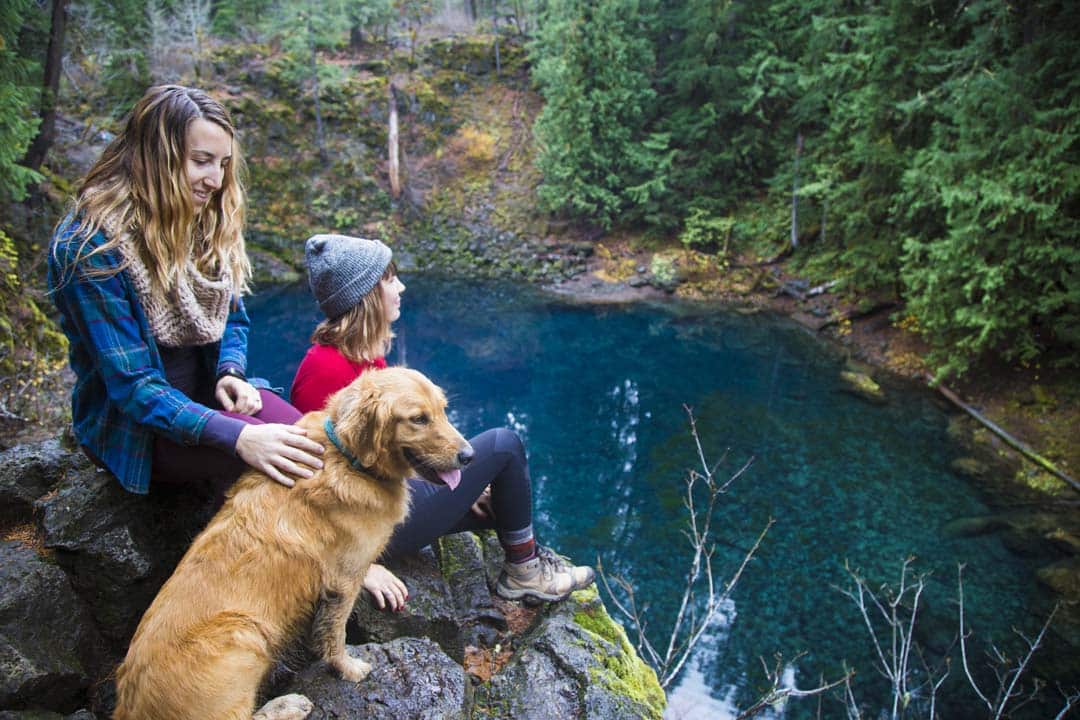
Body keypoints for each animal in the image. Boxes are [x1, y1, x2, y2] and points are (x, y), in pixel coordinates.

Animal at [111, 369, 475, 716]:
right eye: (418, 418)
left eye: (443, 410)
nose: (468, 456)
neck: (348, 458)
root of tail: (130, 703)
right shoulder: (344, 580)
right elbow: (335, 633)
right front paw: (347, 668)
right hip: (244, 633)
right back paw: (289, 704)